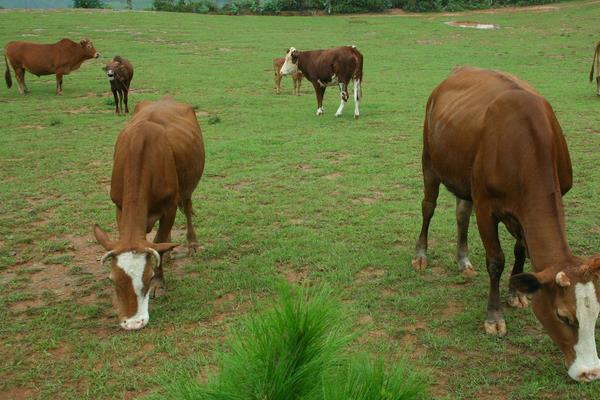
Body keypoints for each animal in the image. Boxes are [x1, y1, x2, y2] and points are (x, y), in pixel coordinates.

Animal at [92, 97, 205, 332]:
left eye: (149, 276)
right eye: (112, 279)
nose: (134, 323)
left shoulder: (170, 206)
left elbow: (160, 238)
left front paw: (159, 283)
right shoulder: (120, 206)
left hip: (188, 188)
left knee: (187, 209)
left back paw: (192, 244)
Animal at [412, 66, 600, 382]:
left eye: (597, 316)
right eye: (563, 316)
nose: (590, 372)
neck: (524, 147)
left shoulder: (524, 212)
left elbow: (521, 250)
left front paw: (517, 293)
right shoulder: (486, 207)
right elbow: (496, 261)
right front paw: (494, 317)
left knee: (461, 212)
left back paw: (463, 260)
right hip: (430, 160)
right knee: (429, 207)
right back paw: (420, 255)